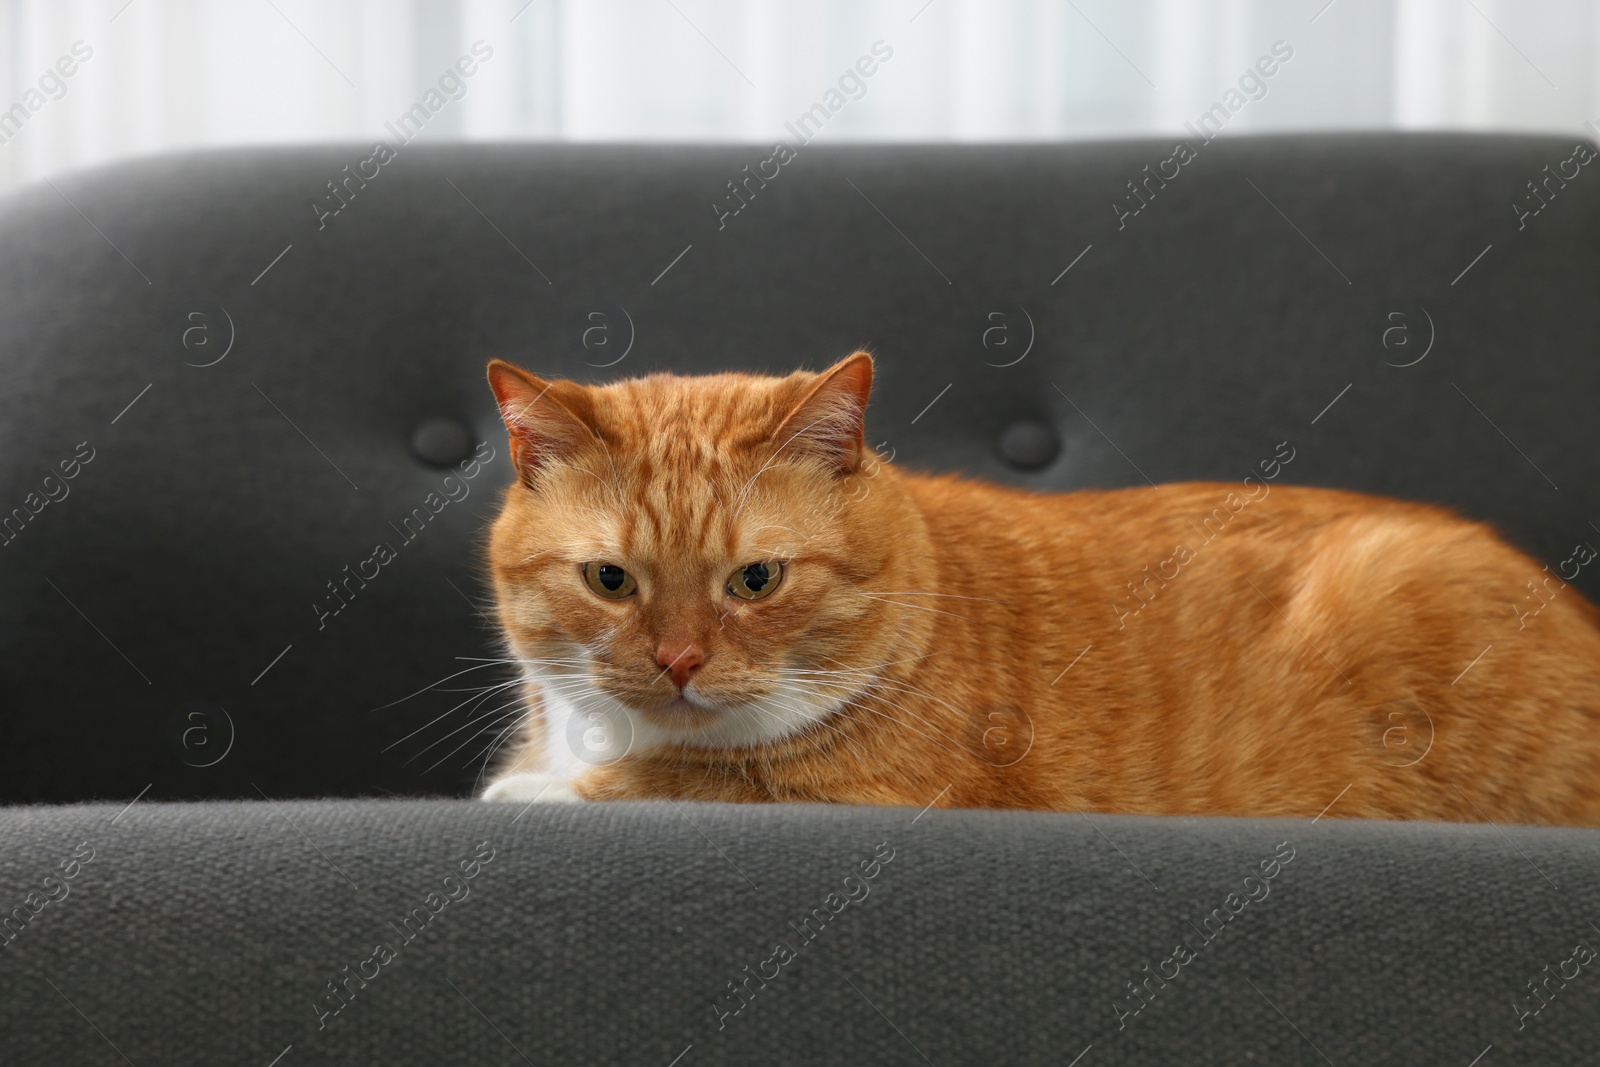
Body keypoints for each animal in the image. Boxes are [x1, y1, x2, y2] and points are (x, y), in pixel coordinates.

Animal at [473, 355, 1600, 831]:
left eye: (756, 578)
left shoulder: (868, 792)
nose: (677, 661)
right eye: (610, 580)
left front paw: (540, 790)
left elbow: (667, 782)